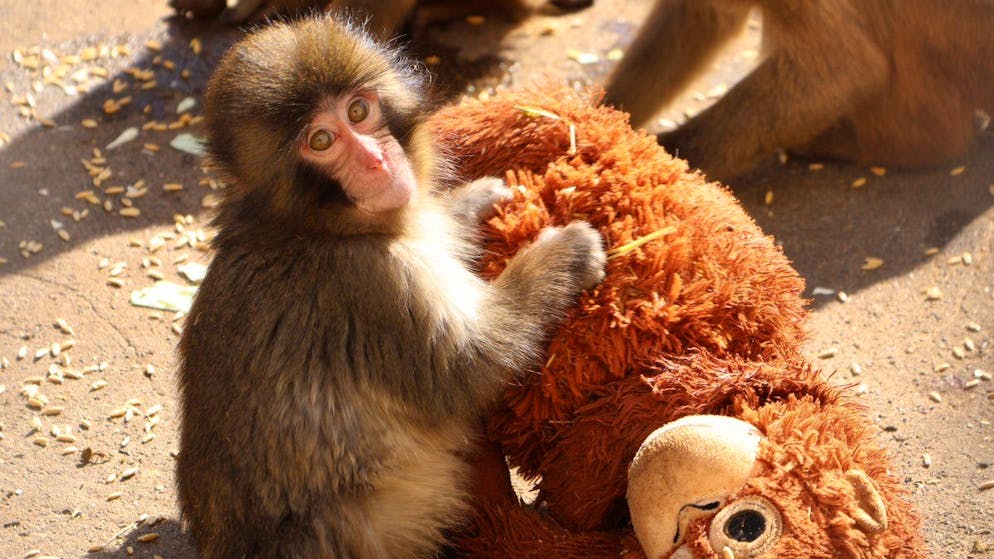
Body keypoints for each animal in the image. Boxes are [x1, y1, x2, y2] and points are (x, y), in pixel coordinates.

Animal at [175, 13, 606, 559]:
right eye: (321, 141)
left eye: (359, 111)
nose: (375, 161)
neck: (314, 226)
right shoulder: (371, 283)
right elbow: (467, 367)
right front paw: (564, 254)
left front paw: (474, 201)